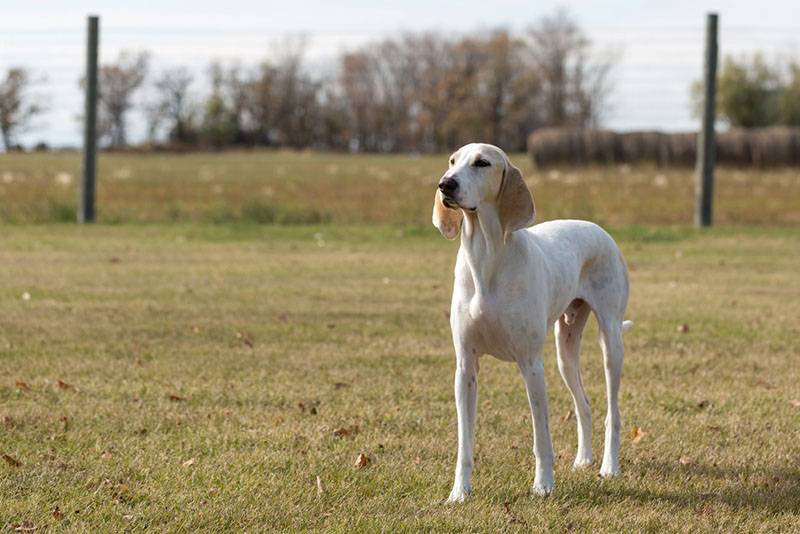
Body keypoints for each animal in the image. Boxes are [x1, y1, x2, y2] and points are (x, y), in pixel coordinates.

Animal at [432, 143, 632, 502]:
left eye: (482, 163)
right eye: (452, 161)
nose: (445, 184)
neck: (486, 259)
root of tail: (599, 229)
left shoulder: (531, 365)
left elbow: (542, 439)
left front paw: (543, 486)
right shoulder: (465, 368)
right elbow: (464, 443)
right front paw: (459, 493)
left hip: (611, 344)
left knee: (613, 412)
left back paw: (609, 466)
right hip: (565, 352)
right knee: (584, 406)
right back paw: (583, 459)